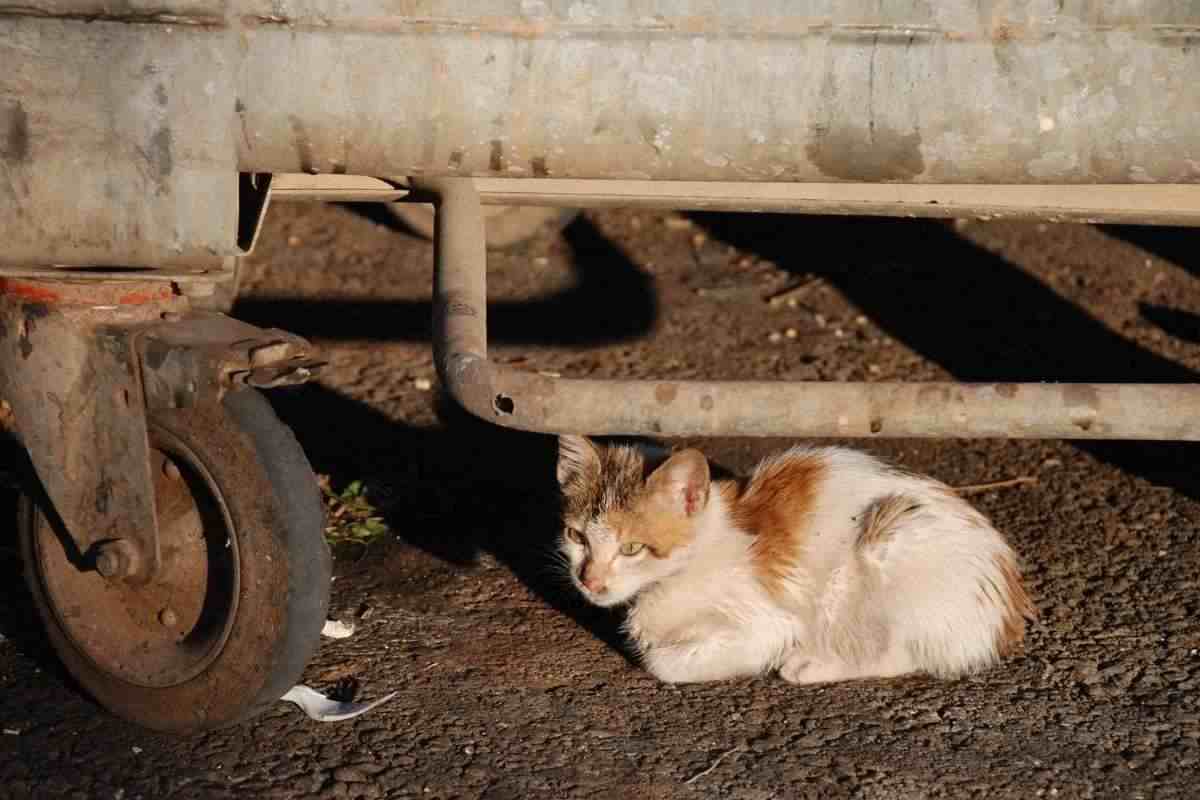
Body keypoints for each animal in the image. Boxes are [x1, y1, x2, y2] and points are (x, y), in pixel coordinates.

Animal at [556, 434, 1036, 686]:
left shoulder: (767, 621)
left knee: (901, 651)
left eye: (632, 548)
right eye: (577, 537)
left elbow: (660, 662)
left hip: (887, 540)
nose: (589, 581)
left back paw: (811, 664)